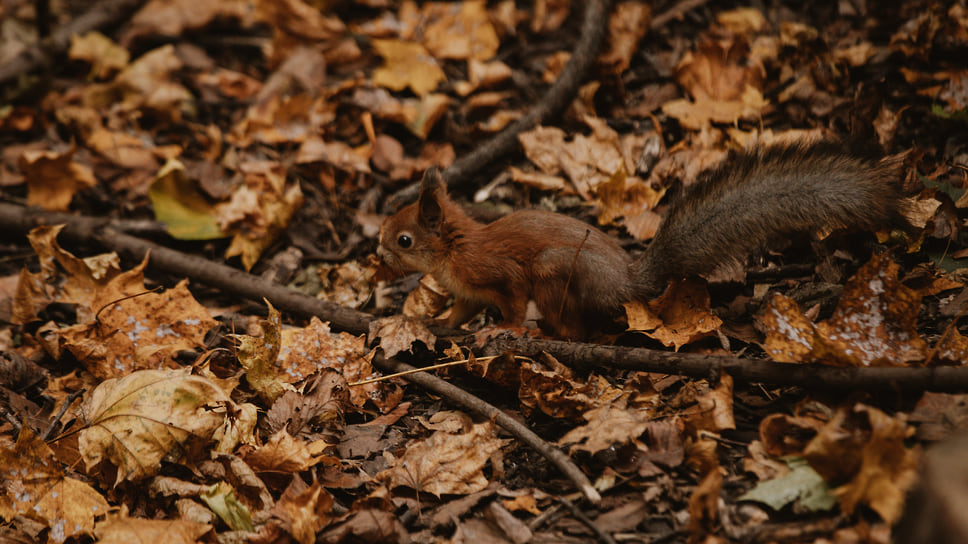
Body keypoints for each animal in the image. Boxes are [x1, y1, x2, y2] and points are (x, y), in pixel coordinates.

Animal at [376, 140, 908, 338]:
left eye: (403, 241)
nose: (375, 261)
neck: (452, 251)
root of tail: (627, 285)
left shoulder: (496, 272)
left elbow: (510, 301)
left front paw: (504, 330)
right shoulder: (466, 291)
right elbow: (460, 311)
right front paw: (437, 321)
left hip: (555, 272)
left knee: (572, 328)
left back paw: (546, 332)